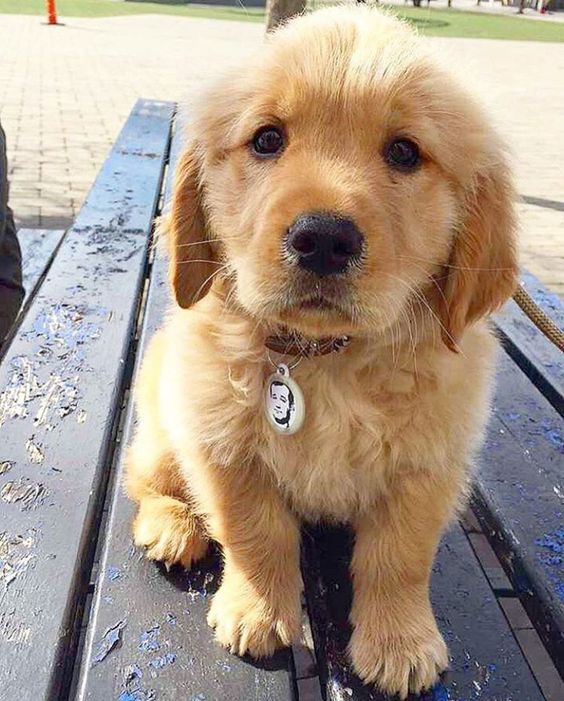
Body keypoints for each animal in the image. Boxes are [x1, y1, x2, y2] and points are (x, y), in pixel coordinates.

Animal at [125, 6, 516, 700]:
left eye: (404, 152)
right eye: (266, 140)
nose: (324, 238)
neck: (325, 359)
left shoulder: (430, 462)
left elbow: (399, 557)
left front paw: (399, 641)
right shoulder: (222, 447)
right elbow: (255, 533)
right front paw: (257, 611)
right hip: (167, 433)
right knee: (141, 479)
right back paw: (172, 526)